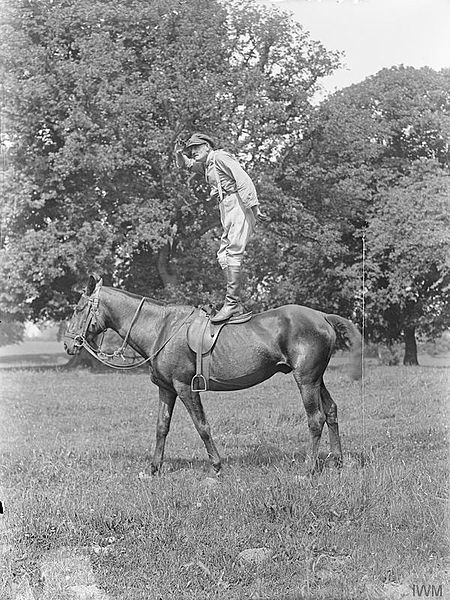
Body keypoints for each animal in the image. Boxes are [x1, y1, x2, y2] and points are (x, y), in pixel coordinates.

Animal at [64, 274, 362, 476]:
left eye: (78, 309)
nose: (69, 344)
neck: (161, 328)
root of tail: (322, 316)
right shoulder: (166, 389)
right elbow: (162, 427)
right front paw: (154, 468)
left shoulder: (184, 387)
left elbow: (202, 426)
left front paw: (217, 466)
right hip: (316, 379)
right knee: (331, 411)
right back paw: (337, 461)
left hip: (306, 380)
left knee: (315, 418)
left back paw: (309, 468)